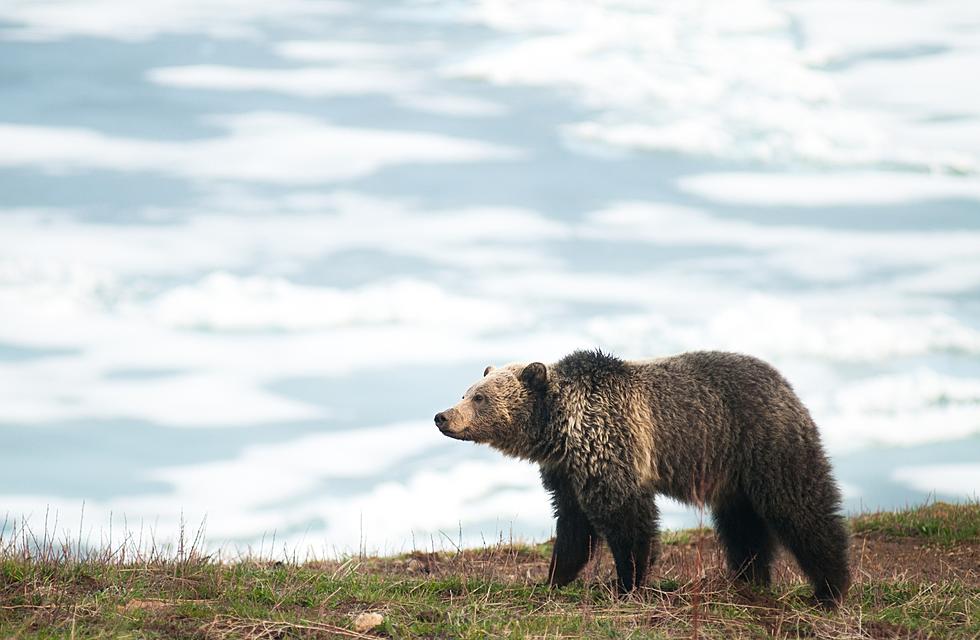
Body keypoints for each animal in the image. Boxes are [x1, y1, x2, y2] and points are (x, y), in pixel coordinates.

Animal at [434, 350, 848, 604]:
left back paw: (830, 588)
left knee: (800, 508)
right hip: (732, 475)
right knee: (743, 527)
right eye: (466, 392)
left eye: (480, 398)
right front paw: (553, 578)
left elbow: (628, 521)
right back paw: (749, 580)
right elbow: (573, 527)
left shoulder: (611, 448)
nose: (442, 416)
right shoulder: (567, 472)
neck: (561, 429)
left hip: (763, 443)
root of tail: (785, 383)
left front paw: (627, 584)